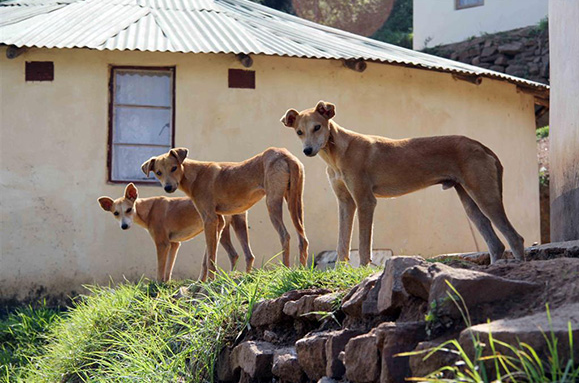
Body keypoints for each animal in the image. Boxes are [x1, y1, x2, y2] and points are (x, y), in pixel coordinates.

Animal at [98, 183, 255, 282]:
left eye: (129, 209)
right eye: (116, 213)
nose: (124, 226)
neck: (148, 209)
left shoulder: (162, 244)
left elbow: (160, 269)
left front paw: (157, 286)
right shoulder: (174, 244)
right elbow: (168, 269)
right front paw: (166, 284)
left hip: (215, 230)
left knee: (212, 260)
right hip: (231, 228)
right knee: (241, 255)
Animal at [141, 147, 310, 280]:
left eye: (174, 167)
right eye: (158, 172)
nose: (168, 188)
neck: (195, 175)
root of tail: (285, 154)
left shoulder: (209, 219)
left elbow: (210, 257)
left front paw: (209, 282)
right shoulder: (218, 222)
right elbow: (207, 258)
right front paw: (202, 282)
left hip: (273, 204)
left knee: (285, 235)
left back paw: (285, 270)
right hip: (295, 204)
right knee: (302, 239)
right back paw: (301, 270)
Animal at [284, 100, 528, 266]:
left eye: (317, 127)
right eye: (299, 132)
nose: (307, 151)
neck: (337, 153)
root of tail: (481, 146)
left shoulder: (365, 201)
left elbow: (363, 245)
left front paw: (362, 271)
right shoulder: (346, 203)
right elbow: (342, 244)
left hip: (485, 197)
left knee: (515, 239)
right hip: (471, 204)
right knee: (496, 244)